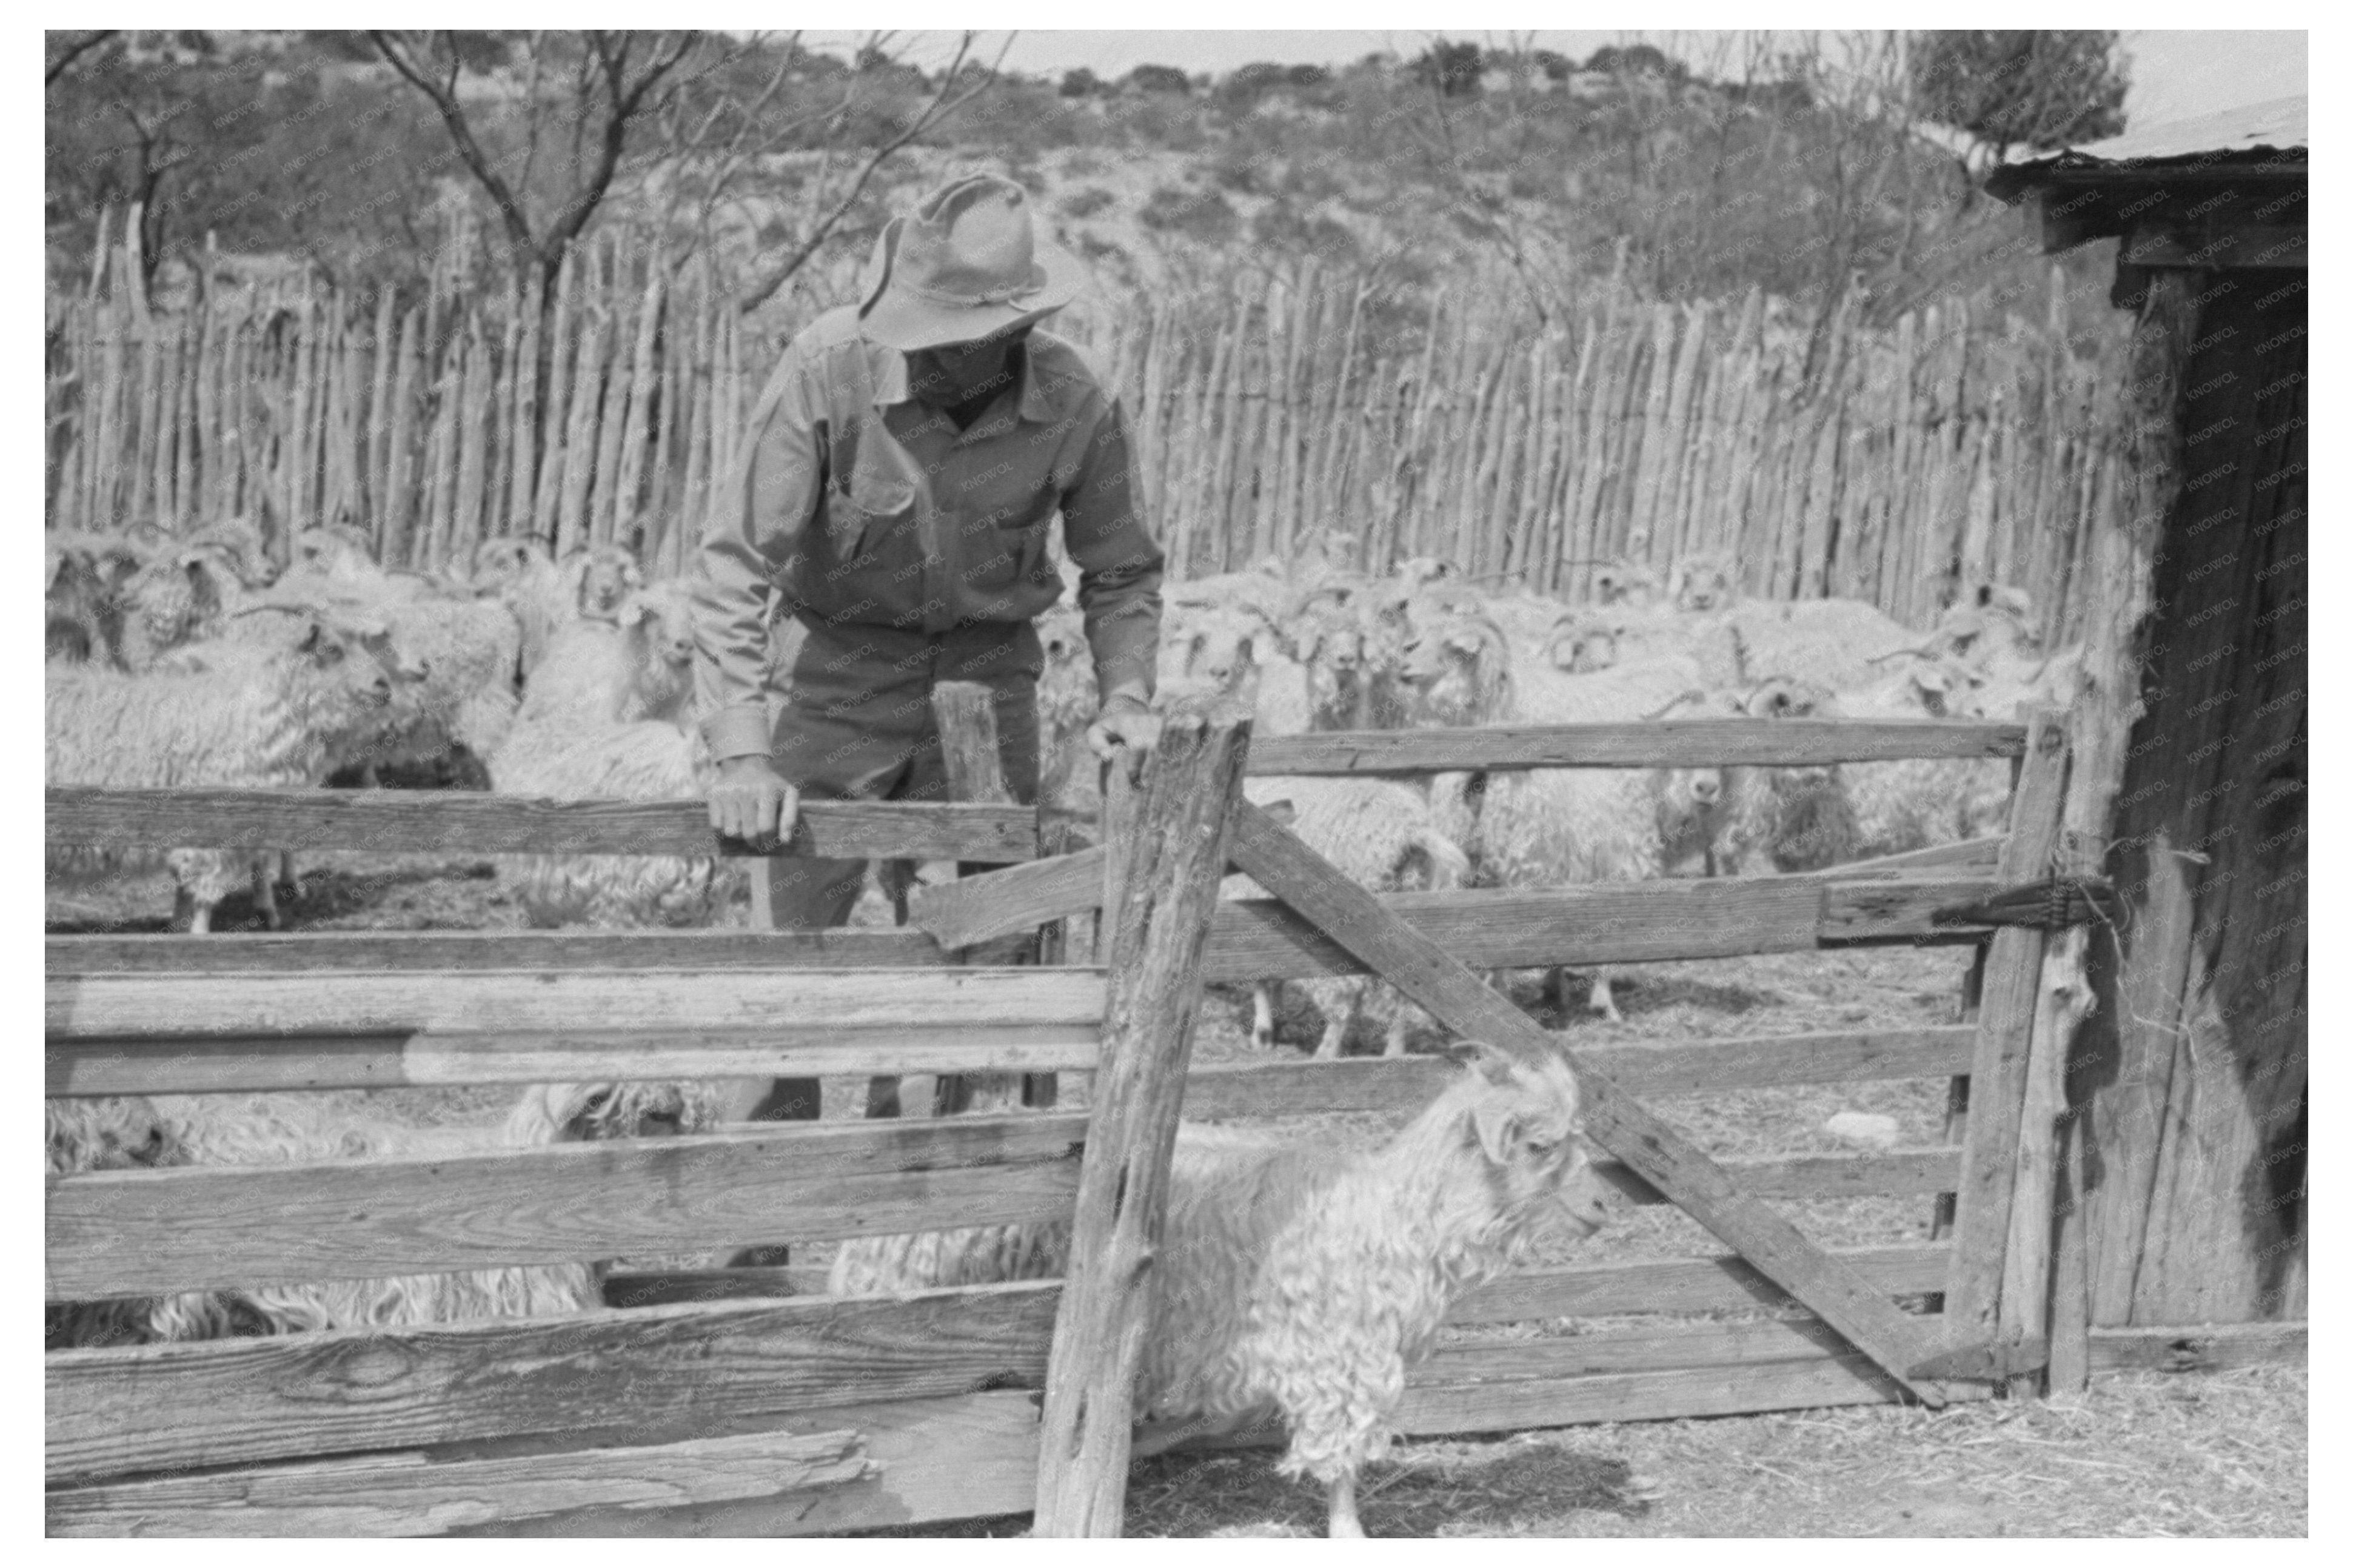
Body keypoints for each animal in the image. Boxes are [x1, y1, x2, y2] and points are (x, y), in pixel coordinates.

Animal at [823, 1031, 1600, 1535]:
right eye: (1538, 1145)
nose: (1600, 1209)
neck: (1391, 1214)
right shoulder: (1334, 1360)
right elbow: (1338, 1458)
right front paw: (1349, 1532)